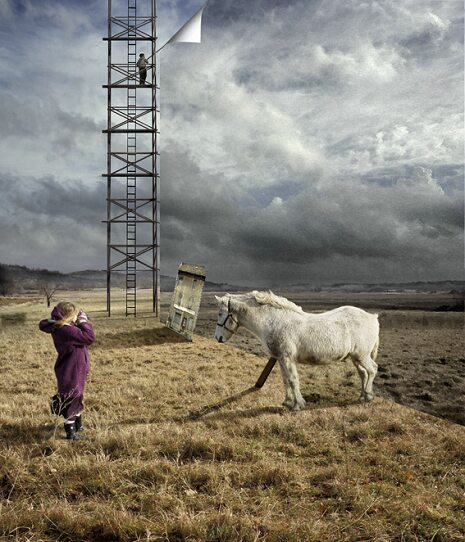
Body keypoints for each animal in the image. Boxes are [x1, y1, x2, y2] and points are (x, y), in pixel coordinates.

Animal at [216, 294, 378, 412]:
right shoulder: (280, 359)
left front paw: (298, 404)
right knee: (363, 373)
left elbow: (293, 380)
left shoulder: (288, 359)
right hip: (356, 358)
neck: (274, 322)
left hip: (362, 356)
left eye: (220, 313)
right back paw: (362, 396)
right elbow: (285, 380)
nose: (218, 338)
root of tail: (372, 317)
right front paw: (287, 402)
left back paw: (368, 396)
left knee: (372, 370)